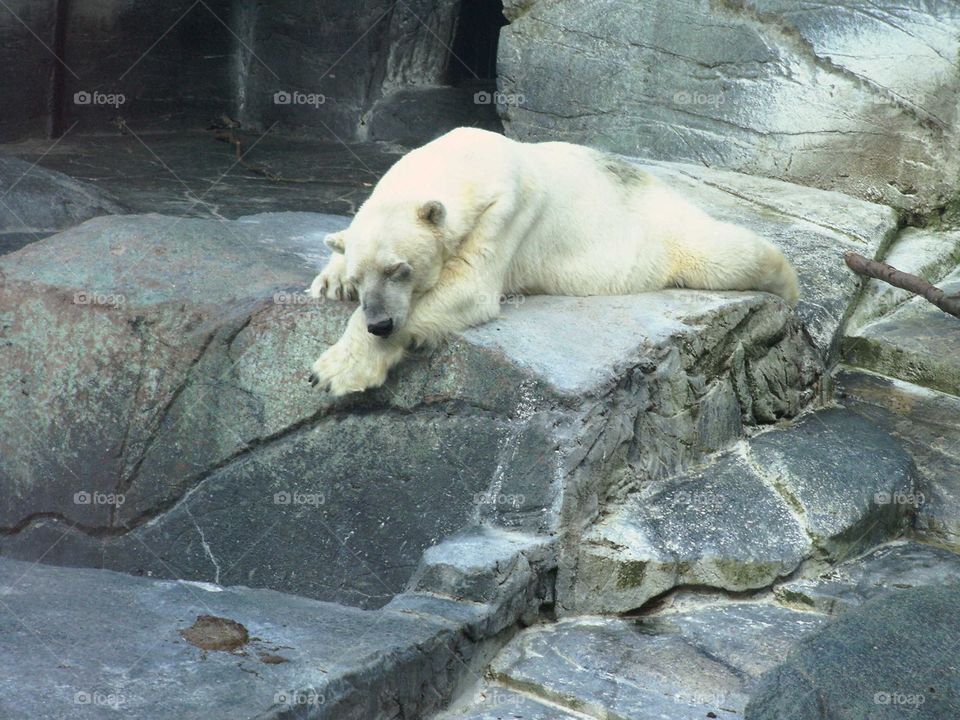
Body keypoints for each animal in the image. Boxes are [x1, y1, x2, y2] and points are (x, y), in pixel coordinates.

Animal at [306, 127, 796, 396]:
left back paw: (788, 283)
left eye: (399, 269)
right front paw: (330, 279)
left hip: (662, 232)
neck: (466, 159)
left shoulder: (506, 211)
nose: (379, 323)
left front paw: (333, 370)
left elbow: (469, 288)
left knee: (723, 253)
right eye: (361, 276)